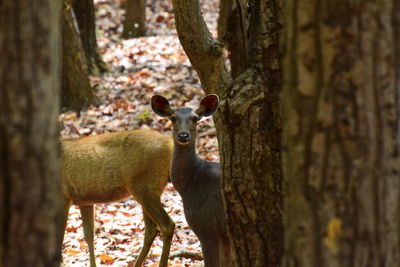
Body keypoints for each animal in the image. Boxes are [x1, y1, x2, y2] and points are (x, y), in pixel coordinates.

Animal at [60, 129, 175, 266]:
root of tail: (169, 143)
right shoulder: (85, 201)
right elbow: (88, 236)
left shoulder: (63, 197)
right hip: (147, 190)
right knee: (151, 230)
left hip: (146, 188)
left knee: (167, 225)